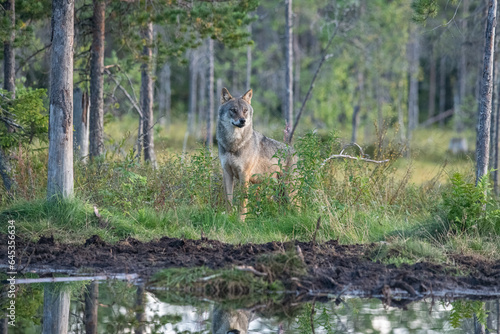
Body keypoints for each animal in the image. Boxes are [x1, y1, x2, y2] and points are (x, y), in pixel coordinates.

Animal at [216, 87, 296, 220]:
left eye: (245, 111)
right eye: (233, 110)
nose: (242, 121)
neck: (233, 145)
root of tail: (295, 152)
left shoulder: (244, 175)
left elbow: (243, 202)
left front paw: (241, 220)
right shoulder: (227, 173)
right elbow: (229, 200)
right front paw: (228, 217)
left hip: (289, 191)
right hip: (280, 192)